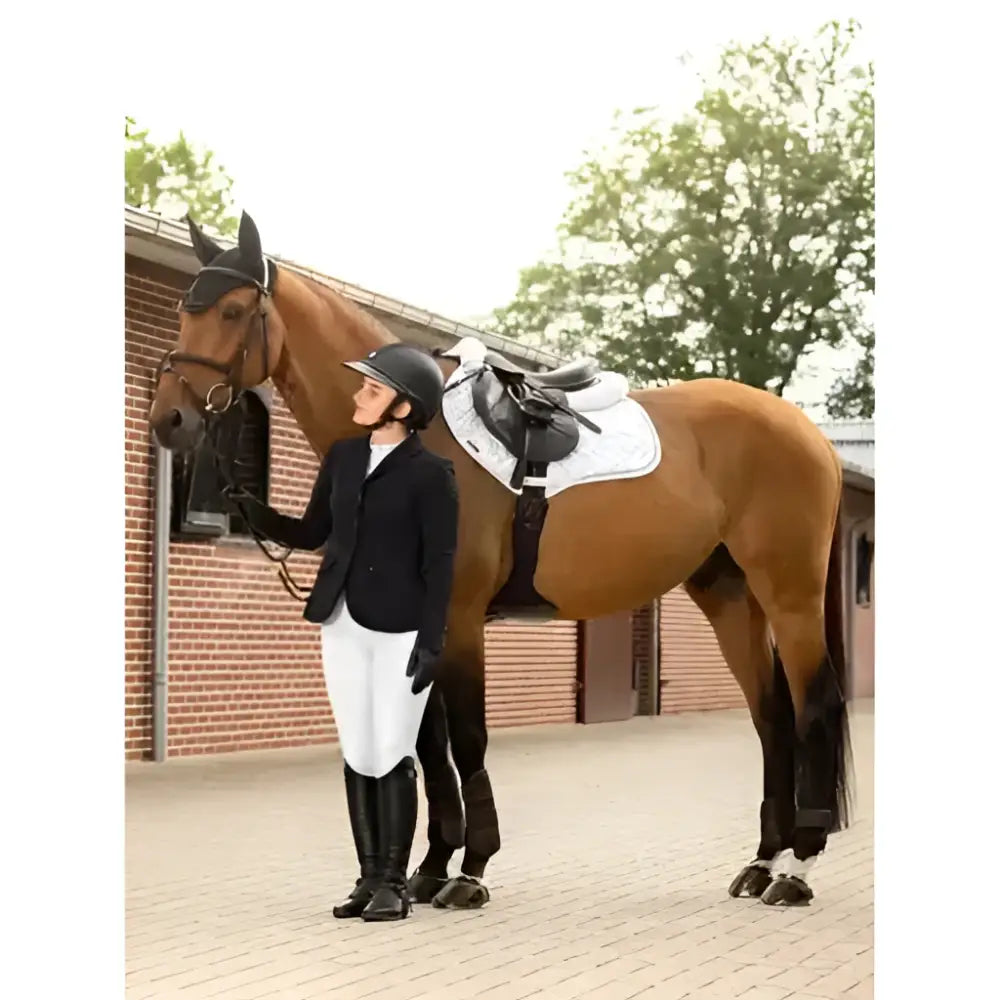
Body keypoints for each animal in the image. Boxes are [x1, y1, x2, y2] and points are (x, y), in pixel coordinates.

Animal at [148, 211, 852, 910]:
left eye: (234, 310)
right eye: (184, 310)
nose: (169, 419)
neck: (417, 434)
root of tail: (808, 432)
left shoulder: (458, 620)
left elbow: (466, 738)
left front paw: (469, 871)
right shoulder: (419, 627)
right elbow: (429, 745)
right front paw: (430, 867)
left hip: (788, 594)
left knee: (815, 706)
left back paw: (798, 871)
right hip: (729, 595)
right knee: (771, 717)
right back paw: (761, 863)